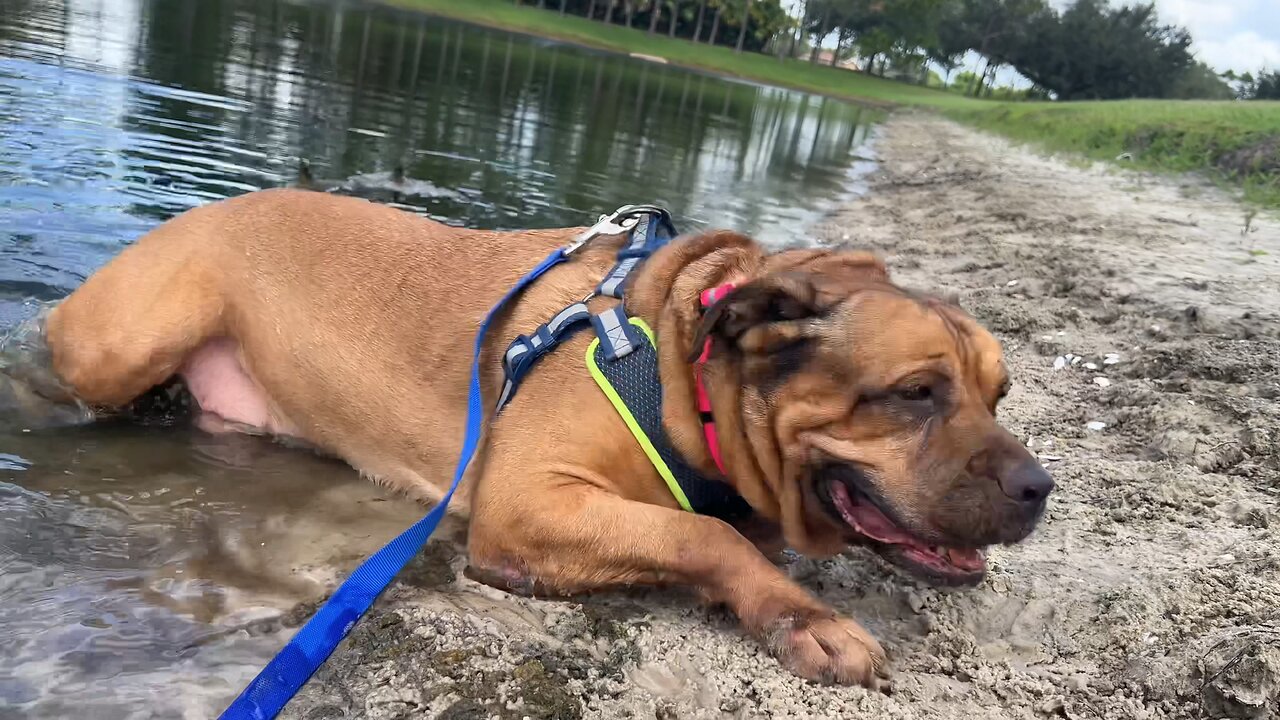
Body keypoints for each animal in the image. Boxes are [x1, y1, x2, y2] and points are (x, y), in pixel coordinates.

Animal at [30, 188, 1054, 686]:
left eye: (999, 395)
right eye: (915, 393)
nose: (1040, 489)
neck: (686, 370)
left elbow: (713, 529)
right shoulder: (529, 502)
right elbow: (701, 532)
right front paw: (802, 617)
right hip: (122, 345)